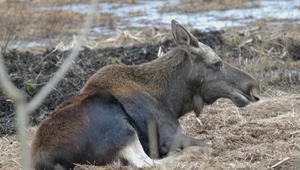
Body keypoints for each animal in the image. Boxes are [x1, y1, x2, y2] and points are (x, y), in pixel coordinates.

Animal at [31, 19, 260, 169]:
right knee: (148, 164)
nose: (253, 87)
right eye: (216, 63)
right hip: (120, 125)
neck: (172, 99)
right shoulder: (170, 136)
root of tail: (48, 161)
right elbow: (207, 141)